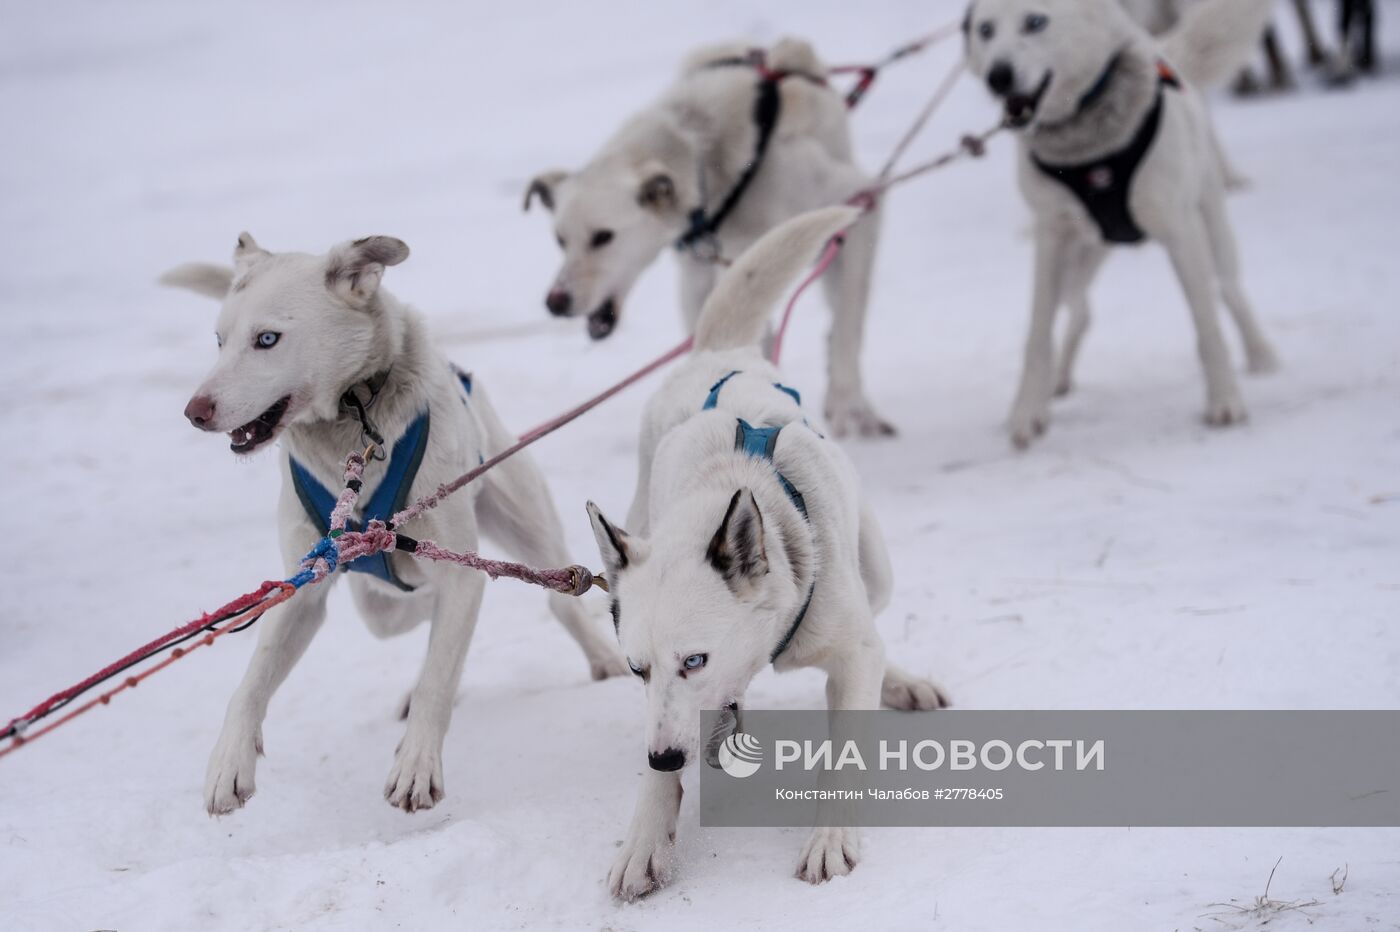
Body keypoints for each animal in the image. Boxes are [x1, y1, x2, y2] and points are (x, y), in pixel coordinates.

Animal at [161, 233, 627, 811]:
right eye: (219, 341)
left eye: (266, 339)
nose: (195, 411)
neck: (353, 415)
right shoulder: (303, 585)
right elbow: (252, 679)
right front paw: (230, 759)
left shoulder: (458, 571)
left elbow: (437, 678)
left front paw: (416, 764)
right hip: (383, 604)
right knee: (412, 611)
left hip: (526, 521)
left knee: (552, 600)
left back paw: (602, 656)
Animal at [526, 38, 896, 436]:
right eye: (560, 239)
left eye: (603, 236)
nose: (555, 301)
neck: (710, 157)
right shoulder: (701, 280)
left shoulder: (860, 204)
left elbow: (847, 330)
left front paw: (848, 406)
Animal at [585, 207, 946, 895]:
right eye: (636, 668)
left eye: (695, 659)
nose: (663, 756)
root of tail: (717, 352)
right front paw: (647, 830)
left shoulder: (846, 648)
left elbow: (846, 747)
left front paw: (831, 839)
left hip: (875, 569)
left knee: (877, 628)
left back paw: (901, 681)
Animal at [963, 0, 1282, 447]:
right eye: (986, 30)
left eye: (1035, 21)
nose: (998, 76)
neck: (1088, 147)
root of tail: (1165, 51)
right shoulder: (1050, 237)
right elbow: (1038, 336)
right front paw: (1028, 411)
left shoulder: (1180, 231)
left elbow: (1207, 326)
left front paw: (1225, 401)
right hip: (1077, 260)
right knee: (1079, 311)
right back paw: (1058, 380)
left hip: (1213, 231)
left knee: (1229, 290)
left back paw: (1260, 355)